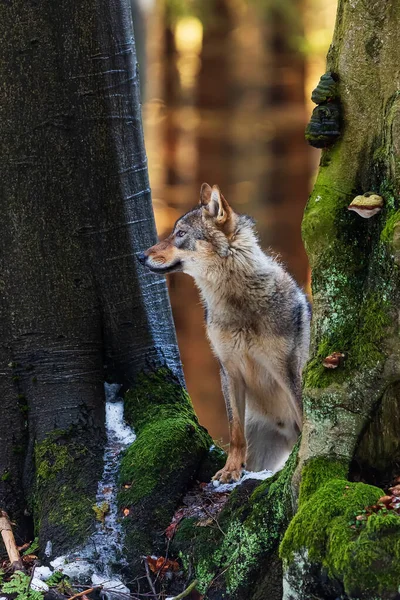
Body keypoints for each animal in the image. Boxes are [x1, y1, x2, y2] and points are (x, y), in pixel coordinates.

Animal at [139, 185, 310, 486]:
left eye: (180, 233)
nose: (139, 256)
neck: (236, 302)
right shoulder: (229, 370)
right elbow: (234, 432)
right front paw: (230, 471)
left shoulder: (288, 369)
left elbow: (304, 414)